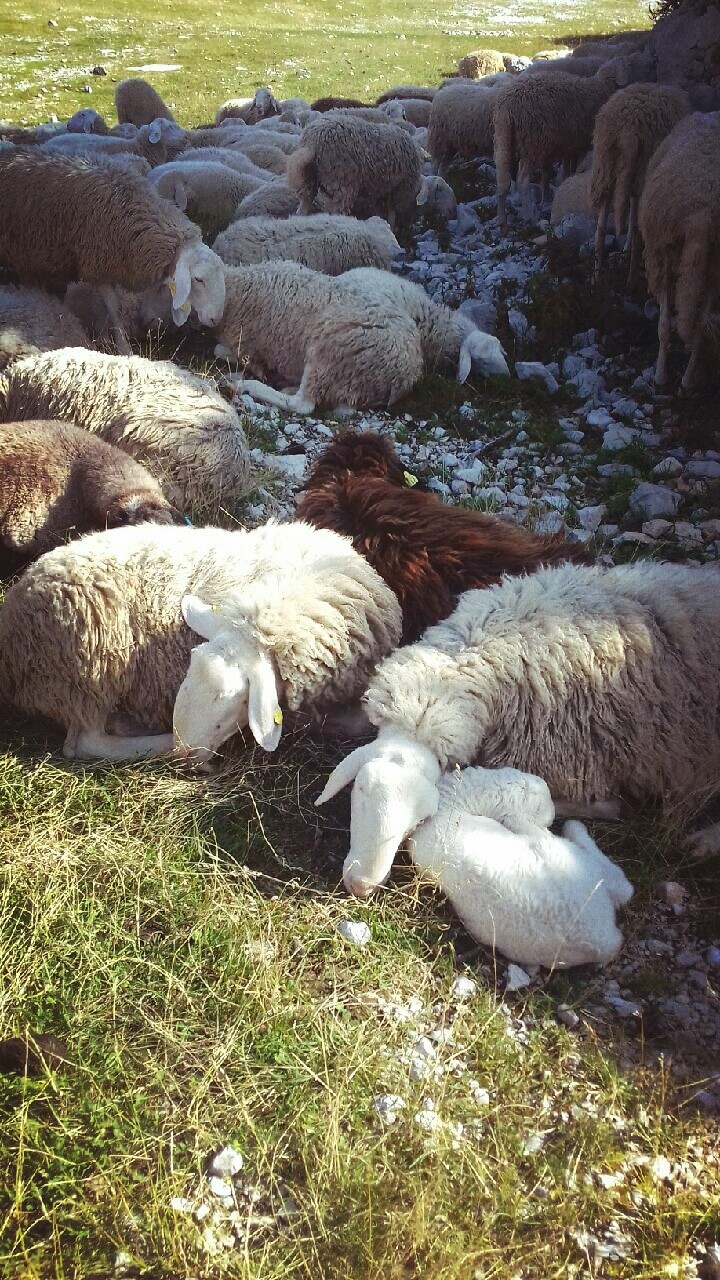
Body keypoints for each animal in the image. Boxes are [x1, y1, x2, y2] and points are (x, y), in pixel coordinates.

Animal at [287, 116, 422, 227]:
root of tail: (311, 143)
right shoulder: (399, 189)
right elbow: (392, 213)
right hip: (341, 183)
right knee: (337, 211)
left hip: (308, 180)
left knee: (304, 206)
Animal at [322, 750, 633, 969]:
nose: (551, 817)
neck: (454, 809)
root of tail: (604, 940)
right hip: (582, 867)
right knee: (623, 885)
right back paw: (575, 827)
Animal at [493, 62, 624, 229]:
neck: (601, 87)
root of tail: (506, 108)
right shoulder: (580, 144)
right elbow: (574, 168)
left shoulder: (566, 145)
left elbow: (561, 170)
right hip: (533, 146)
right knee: (522, 181)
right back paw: (531, 218)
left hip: (504, 143)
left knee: (503, 181)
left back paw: (502, 218)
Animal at [591, 83, 690, 281]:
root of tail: (628, 131)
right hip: (643, 168)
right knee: (638, 227)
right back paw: (632, 279)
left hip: (605, 167)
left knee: (601, 228)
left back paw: (597, 278)